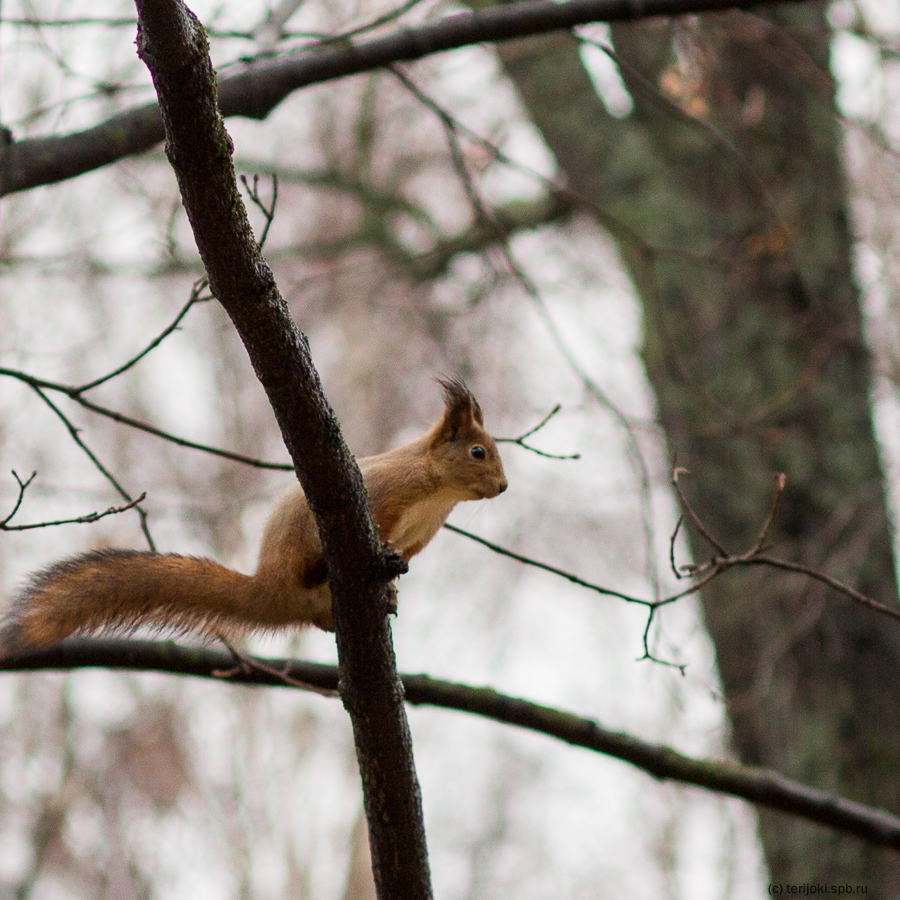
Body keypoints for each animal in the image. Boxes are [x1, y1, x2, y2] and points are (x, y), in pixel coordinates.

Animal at [0, 378, 506, 648]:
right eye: (478, 452)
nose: (503, 487)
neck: (438, 494)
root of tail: (272, 587)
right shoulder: (387, 495)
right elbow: (379, 527)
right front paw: (382, 558)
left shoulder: (422, 533)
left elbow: (408, 553)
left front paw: (396, 581)